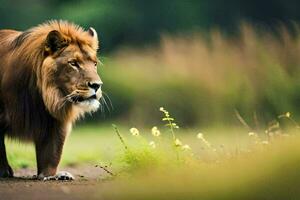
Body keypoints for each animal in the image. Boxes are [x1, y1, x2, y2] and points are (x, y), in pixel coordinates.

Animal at [0, 21, 103, 180]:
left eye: (95, 64)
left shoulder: (56, 121)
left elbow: (52, 153)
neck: (40, 94)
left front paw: (53, 176)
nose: (97, 85)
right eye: (73, 63)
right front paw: (4, 172)